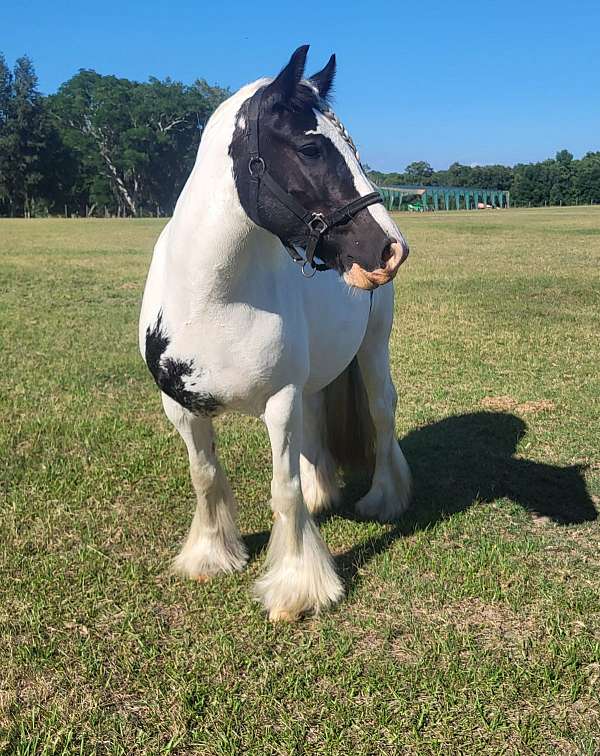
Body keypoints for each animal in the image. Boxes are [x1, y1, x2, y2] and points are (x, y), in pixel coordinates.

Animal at [139, 44, 412, 620]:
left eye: (353, 148)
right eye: (311, 148)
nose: (390, 250)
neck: (213, 297)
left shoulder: (278, 400)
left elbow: (282, 490)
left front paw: (297, 587)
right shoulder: (181, 405)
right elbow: (205, 476)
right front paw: (210, 555)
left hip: (373, 347)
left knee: (381, 410)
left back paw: (384, 498)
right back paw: (323, 492)